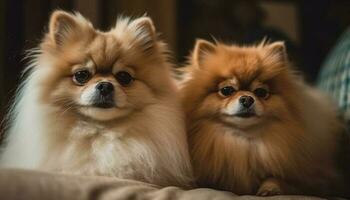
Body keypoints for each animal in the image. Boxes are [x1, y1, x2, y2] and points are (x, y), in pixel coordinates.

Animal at [180, 39, 350, 197]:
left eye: (261, 92)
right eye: (227, 90)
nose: (247, 99)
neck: (244, 142)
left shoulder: (316, 180)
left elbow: (279, 179)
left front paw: (269, 188)